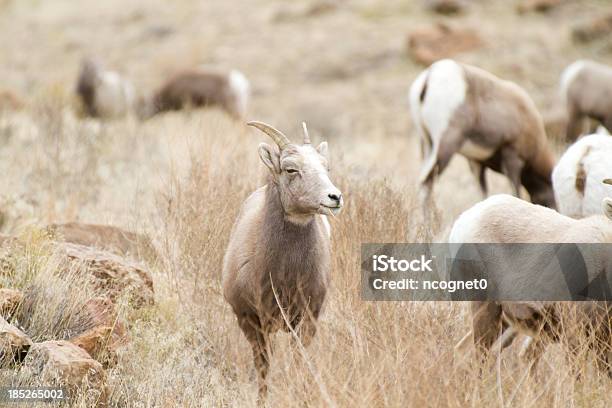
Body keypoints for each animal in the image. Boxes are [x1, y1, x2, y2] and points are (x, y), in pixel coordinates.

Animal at [221, 119, 344, 400]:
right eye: (291, 169)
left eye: (326, 167)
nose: (334, 197)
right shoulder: (251, 322)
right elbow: (263, 367)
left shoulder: (306, 320)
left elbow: (300, 362)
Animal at [408, 59, 556, 212]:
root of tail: (429, 77)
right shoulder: (513, 159)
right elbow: (515, 191)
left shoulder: (476, 164)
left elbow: (482, 194)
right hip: (445, 147)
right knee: (427, 182)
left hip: (427, 146)